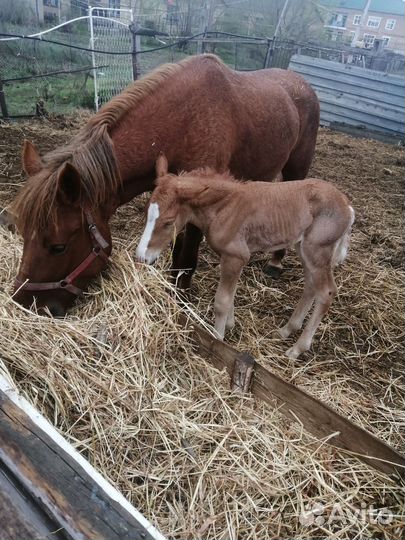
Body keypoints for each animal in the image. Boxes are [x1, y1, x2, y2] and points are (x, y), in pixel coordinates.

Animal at [136, 156, 354, 358]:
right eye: (146, 211)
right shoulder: (230, 257)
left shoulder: (237, 256)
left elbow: (222, 301)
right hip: (305, 249)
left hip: (317, 250)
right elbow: (230, 295)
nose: (141, 257)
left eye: (168, 222)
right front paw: (230, 324)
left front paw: (218, 338)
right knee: (310, 286)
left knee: (326, 292)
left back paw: (296, 350)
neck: (225, 207)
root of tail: (347, 206)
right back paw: (285, 331)